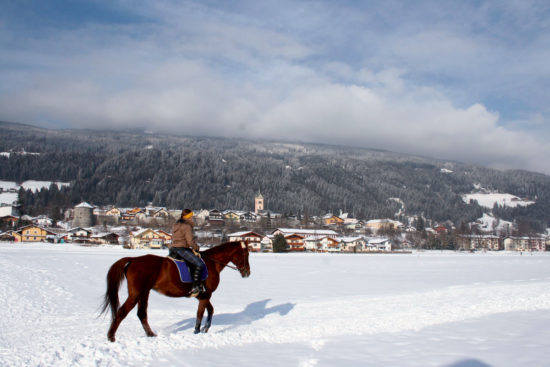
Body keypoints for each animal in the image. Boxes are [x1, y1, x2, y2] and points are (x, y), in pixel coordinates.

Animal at [100, 242, 251, 342]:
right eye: (246, 254)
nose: (247, 273)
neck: (212, 264)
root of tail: (133, 260)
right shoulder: (206, 295)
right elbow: (200, 313)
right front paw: (197, 331)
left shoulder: (202, 295)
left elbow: (210, 310)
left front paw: (205, 329)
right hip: (136, 293)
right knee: (122, 312)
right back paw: (111, 336)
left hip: (144, 292)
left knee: (141, 313)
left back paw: (151, 334)